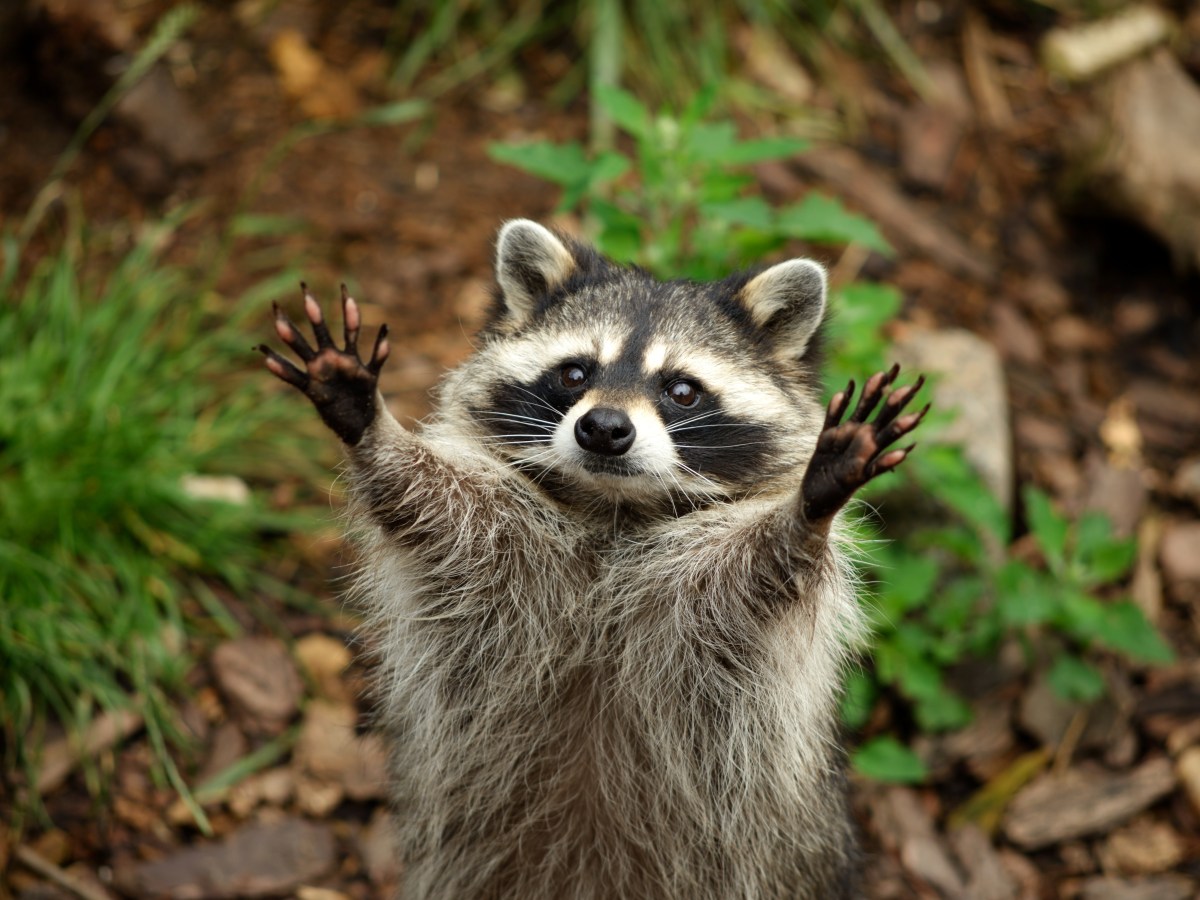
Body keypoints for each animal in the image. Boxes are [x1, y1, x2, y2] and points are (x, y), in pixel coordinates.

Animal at [262, 220, 926, 900]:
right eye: (575, 373)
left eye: (681, 389)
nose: (604, 428)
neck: (613, 509)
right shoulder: (498, 543)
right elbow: (431, 506)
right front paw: (372, 429)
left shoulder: (709, 597)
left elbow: (761, 572)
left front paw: (808, 510)